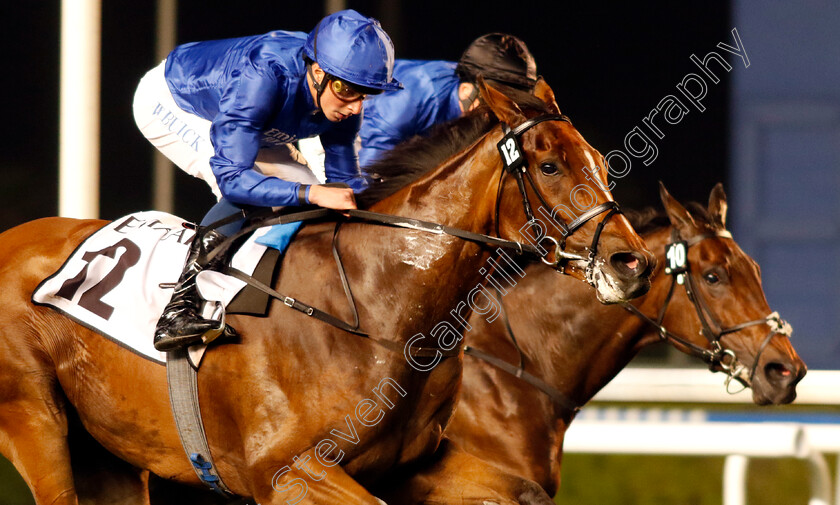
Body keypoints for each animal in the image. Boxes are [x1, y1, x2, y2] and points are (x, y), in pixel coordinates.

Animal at [0, 77, 652, 502]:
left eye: (600, 162)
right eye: (549, 166)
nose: (632, 264)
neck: (380, 309)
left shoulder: (415, 464)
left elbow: (520, 493)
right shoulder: (285, 473)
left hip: (108, 455)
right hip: (38, 423)